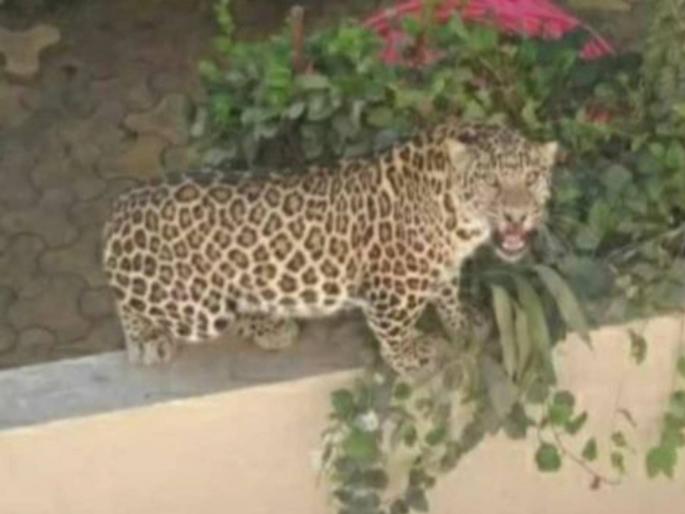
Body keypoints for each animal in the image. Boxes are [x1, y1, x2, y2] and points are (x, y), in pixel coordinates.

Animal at [102, 120, 558, 378]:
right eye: (493, 183)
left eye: (531, 179)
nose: (517, 217)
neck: (458, 219)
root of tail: (118, 209)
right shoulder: (392, 288)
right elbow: (395, 328)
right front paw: (412, 357)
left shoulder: (440, 267)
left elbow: (446, 292)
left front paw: (462, 320)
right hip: (198, 310)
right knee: (131, 303)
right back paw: (147, 338)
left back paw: (270, 325)